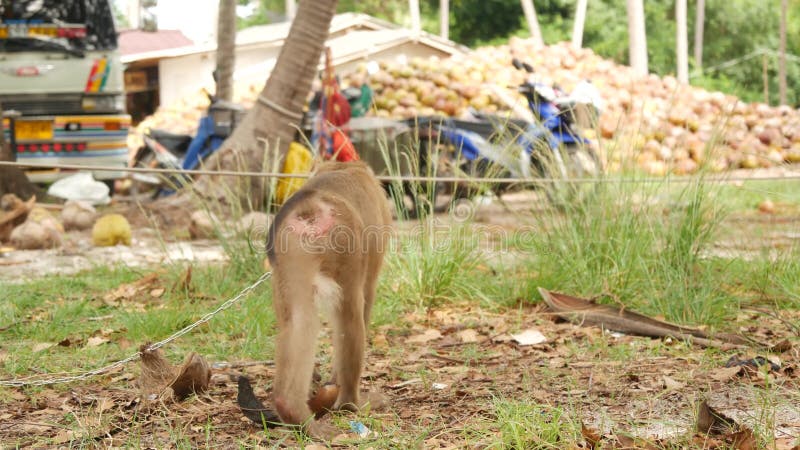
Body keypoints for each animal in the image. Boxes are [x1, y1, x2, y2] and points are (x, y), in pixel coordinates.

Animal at [266, 160, 394, 438]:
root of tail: (310, 206)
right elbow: (366, 298)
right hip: (345, 240)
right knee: (351, 315)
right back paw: (351, 403)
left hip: (290, 249)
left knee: (299, 322)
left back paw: (292, 409)